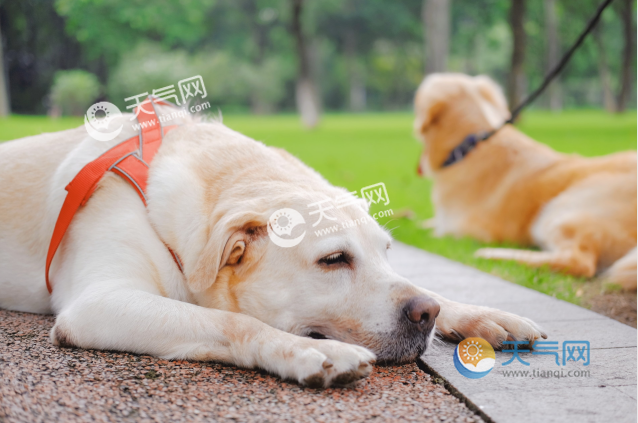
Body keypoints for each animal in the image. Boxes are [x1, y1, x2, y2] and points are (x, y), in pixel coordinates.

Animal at [2, 105, 548, 388]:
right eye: (334, 260)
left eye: (386, 252)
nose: (425, 314)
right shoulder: (98, 303)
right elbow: (231, 321)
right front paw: (307, 351)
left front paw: (479, 315)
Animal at [412, 73, 636, 292]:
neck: (470, 145)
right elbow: (424, 222)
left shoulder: (460, 230)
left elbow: (431, 231)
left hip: (560, 210)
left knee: (579, 262)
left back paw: (493, 254)